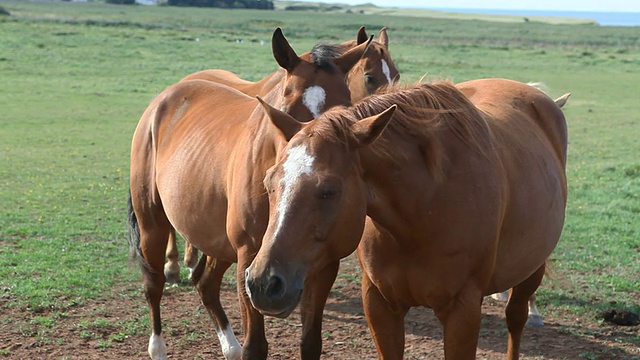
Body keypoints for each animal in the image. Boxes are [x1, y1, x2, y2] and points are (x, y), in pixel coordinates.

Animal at [245, 77, 568, 358]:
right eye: (269, 182)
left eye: (329, 190)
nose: (263, 283)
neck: (422, 211)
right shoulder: (380, 305)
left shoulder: (463, 311)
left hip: (532, 269)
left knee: (516, 319)